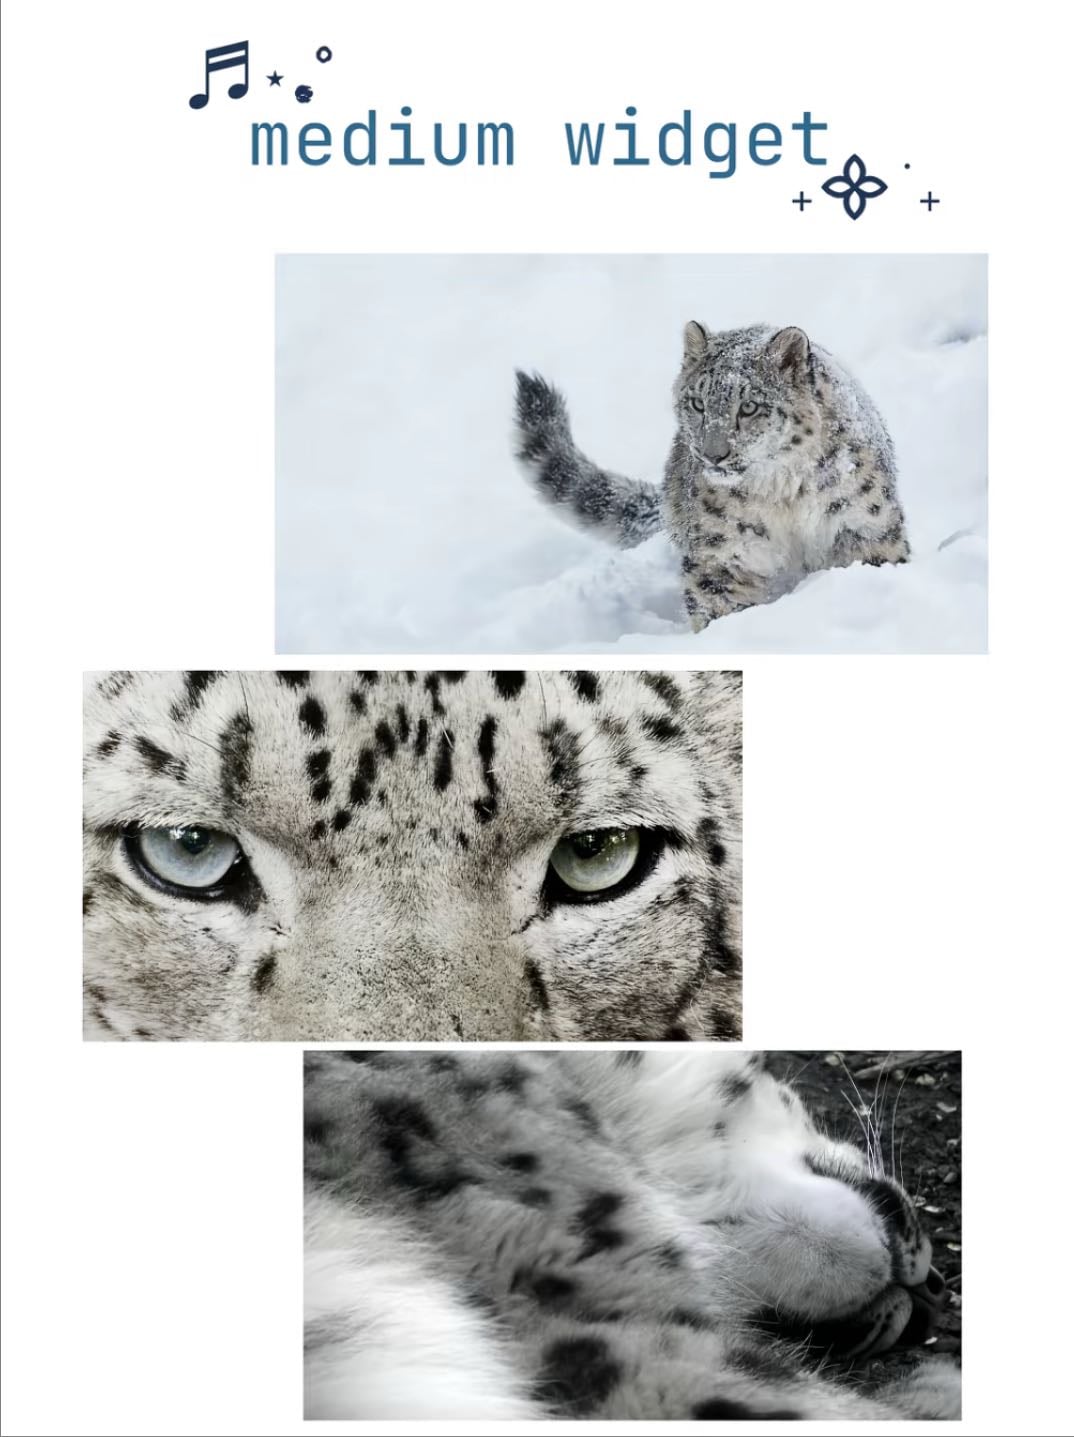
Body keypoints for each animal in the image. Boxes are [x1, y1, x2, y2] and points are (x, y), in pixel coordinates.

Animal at [514, 321, 910, 631]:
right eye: (697, 403)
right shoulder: (725, 555)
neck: (783, 496)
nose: (712, 454)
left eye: (749, 406)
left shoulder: (862, 527)